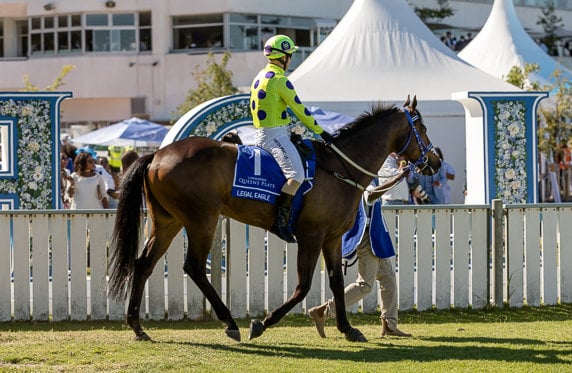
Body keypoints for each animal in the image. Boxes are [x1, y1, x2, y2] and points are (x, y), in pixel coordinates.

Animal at [107, 94, 440, 342]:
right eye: (422, 128)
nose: (436, 160)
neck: (339, 166)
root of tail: (156, 155)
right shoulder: (311, 237)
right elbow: (303, 286)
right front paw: (263, 323)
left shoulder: (332, 239)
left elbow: (335, 281)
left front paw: (347, 328)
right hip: (202, 221)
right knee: (194, 267)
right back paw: (230, 323)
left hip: (167, 222)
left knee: (144, 264)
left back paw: (137, 326)